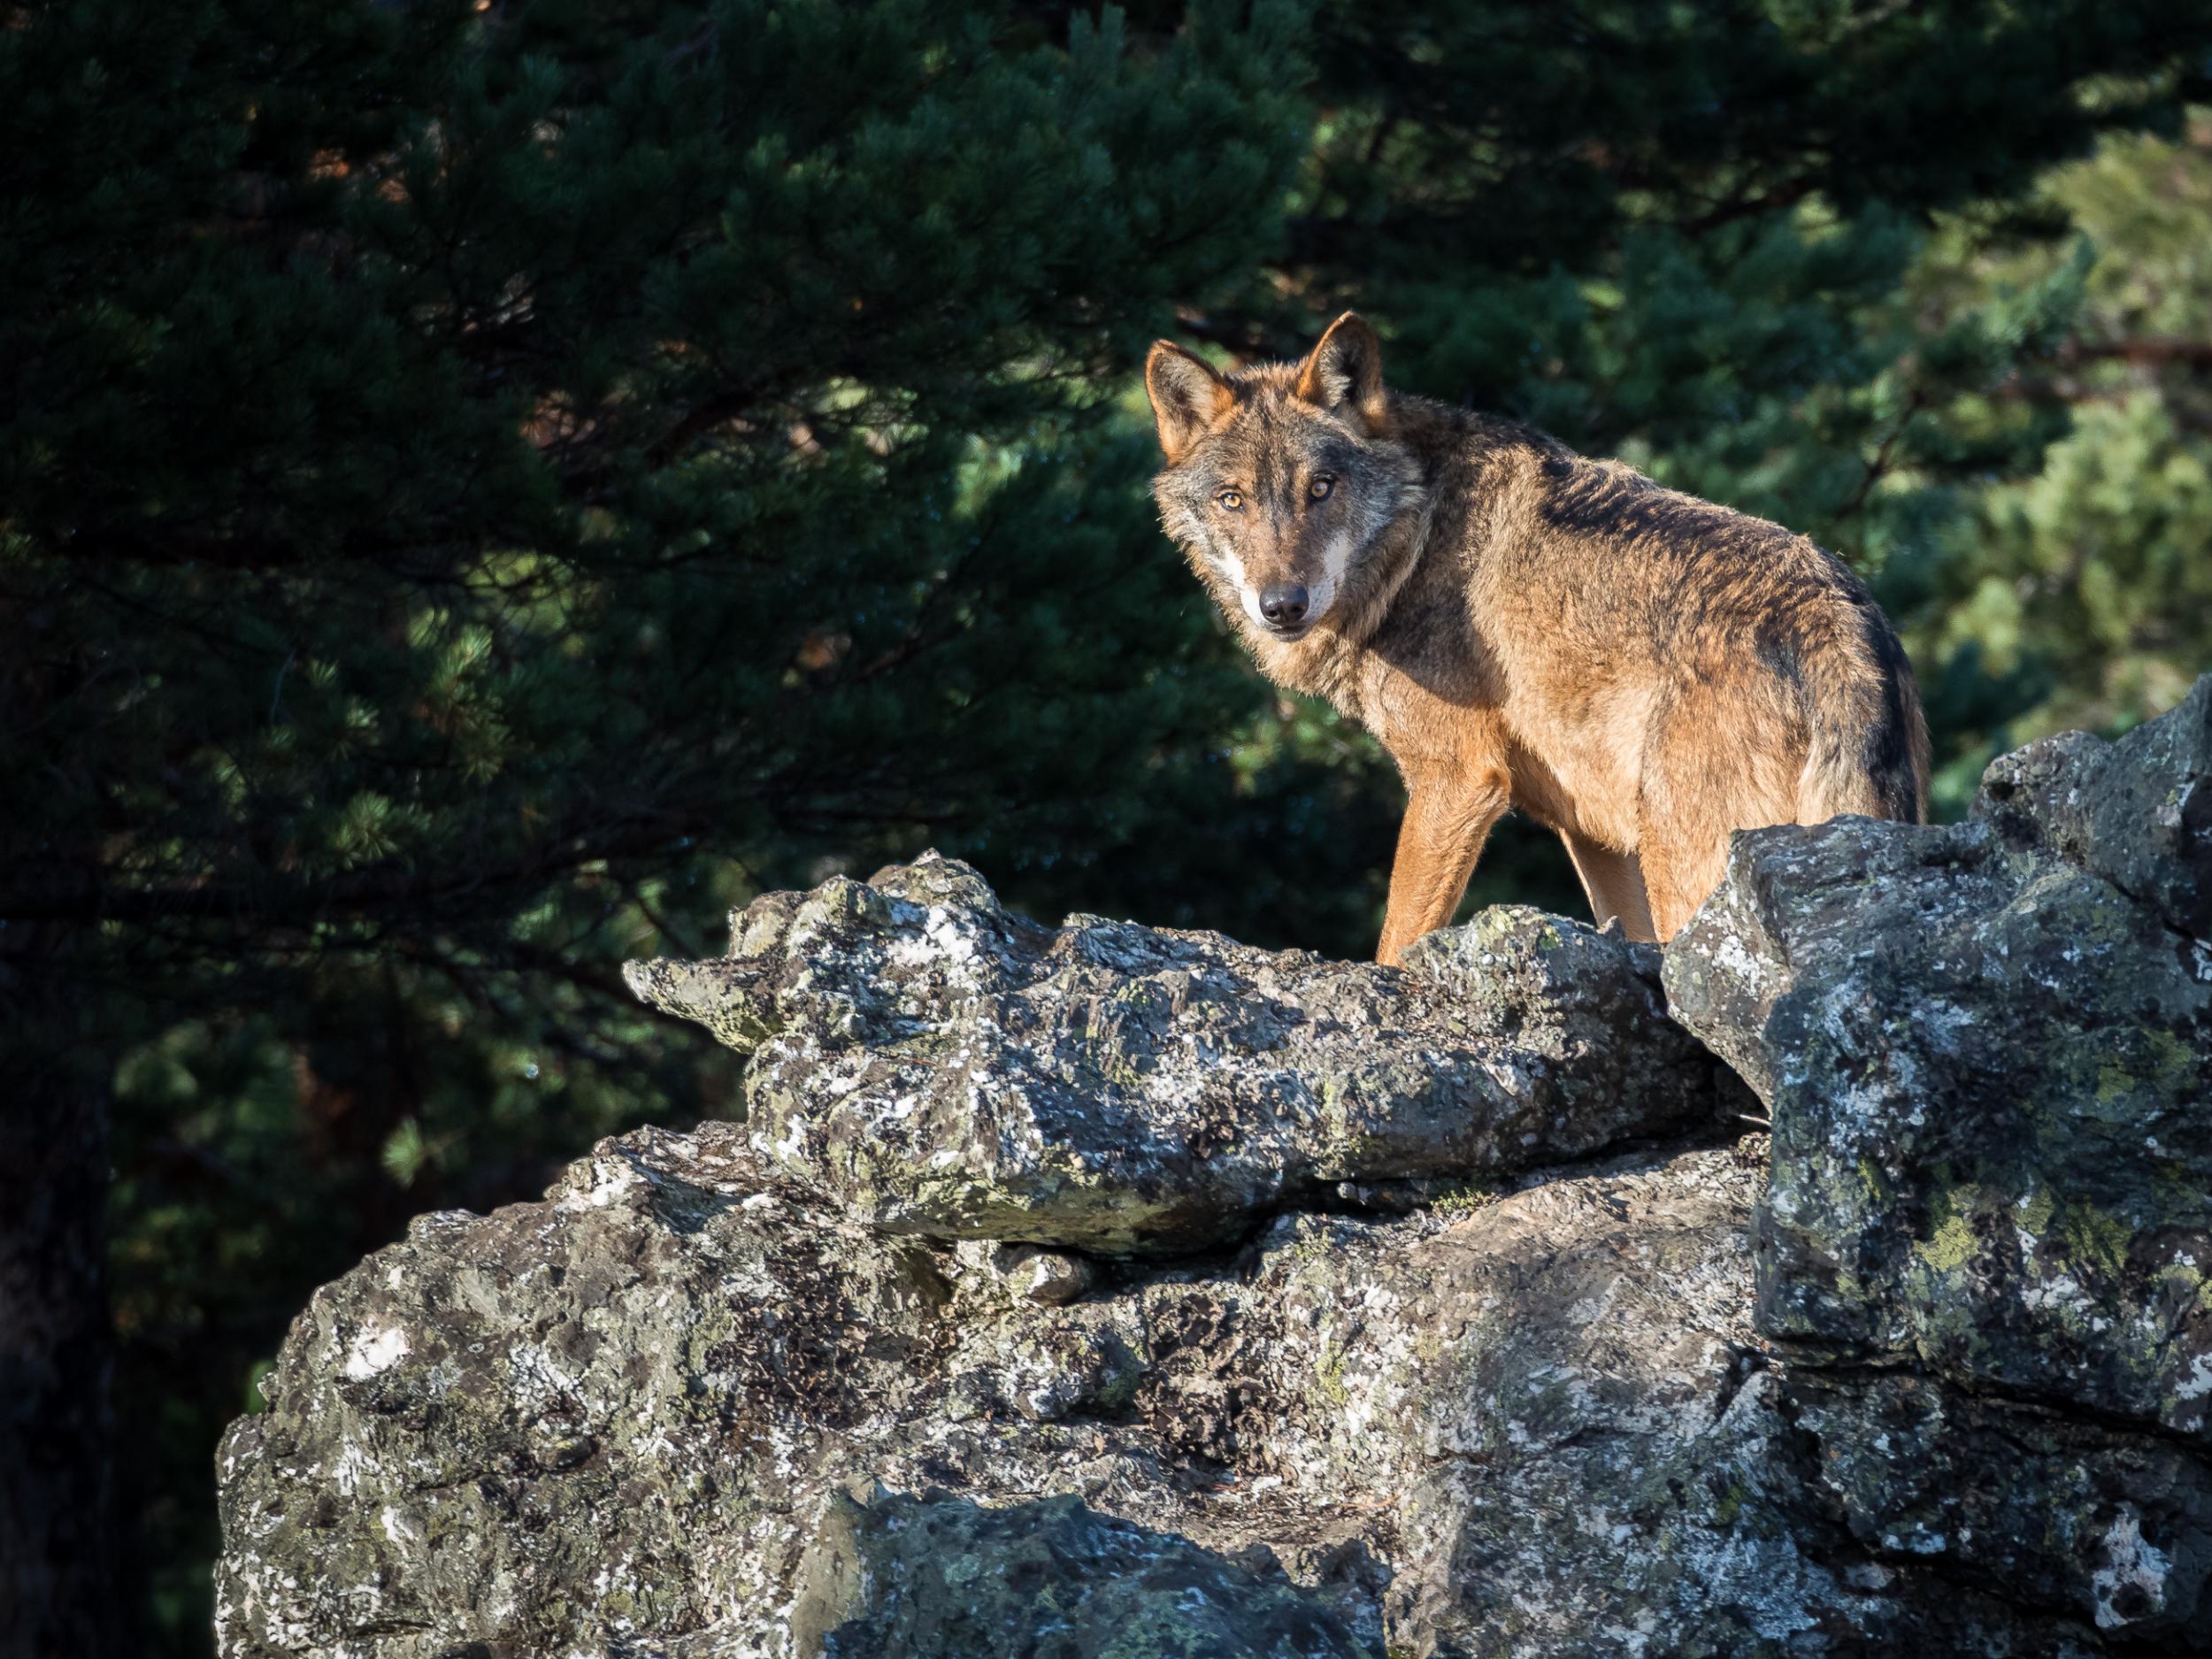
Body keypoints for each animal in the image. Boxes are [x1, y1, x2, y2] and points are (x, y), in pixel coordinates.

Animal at [1150, 314, 1929, 969]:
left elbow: (1394, 945)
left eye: (1321, 487)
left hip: (1695, 868)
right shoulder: (1588, 830)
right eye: (1232, 500)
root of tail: (1841, 624)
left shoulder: (1458, 779)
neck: (1418, 535)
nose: (1282, 605)